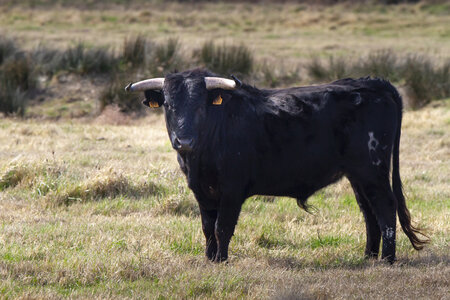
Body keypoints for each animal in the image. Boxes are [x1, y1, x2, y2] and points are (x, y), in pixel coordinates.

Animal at [125, 68, 426, 262]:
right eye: (168, 105)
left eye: (201, 105)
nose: (184, 140)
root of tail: (373, 83)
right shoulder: (201, 191)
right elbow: (208, 227)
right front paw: (210, 258)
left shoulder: (232, 191)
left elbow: (223, 227)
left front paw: (221, 260)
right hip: (357, 175)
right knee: (368, 212)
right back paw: (368, 256)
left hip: (372, 170)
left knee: (385, 208)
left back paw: (387, 259)